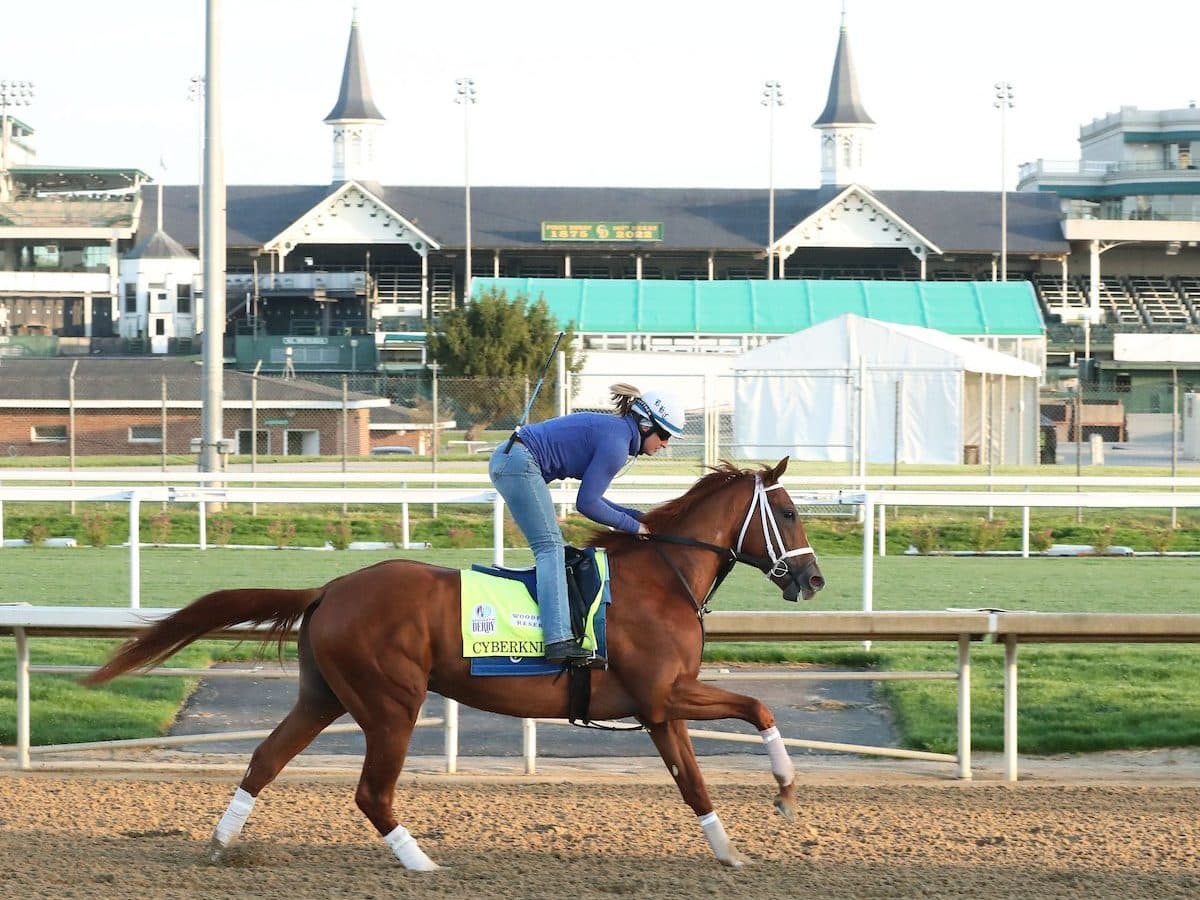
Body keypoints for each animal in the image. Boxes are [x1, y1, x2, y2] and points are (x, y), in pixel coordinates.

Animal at [87, 460, 825, 868]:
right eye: (789, 513)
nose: (813, 580)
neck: (661, 579)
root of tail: (327, 589)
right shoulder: (663, 696)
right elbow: (756, 710)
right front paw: (787, 792)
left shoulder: (660, 708)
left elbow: (697, 781)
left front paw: (733, 849)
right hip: (391, 703)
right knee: (371, 792)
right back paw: (421, 864)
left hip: (324, 695)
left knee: (265, 760)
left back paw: (221, 843)